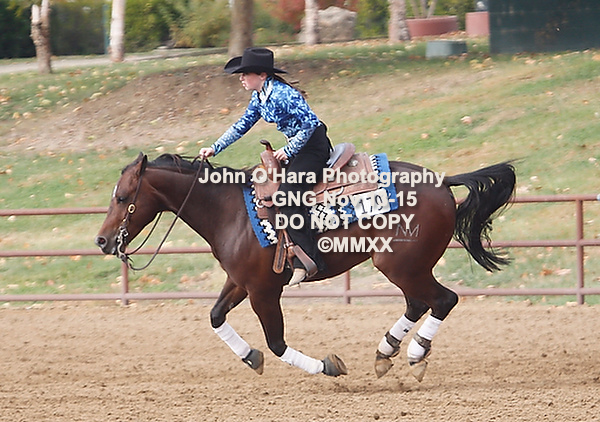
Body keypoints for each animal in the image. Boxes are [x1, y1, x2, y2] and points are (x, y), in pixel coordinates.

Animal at [95, 151, 516, 380]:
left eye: (122, 196)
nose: (101, 241)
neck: (232, 211)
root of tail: (443, 182)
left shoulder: (264, 291)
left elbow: (277, 343)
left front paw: (328, 366)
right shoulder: (240, 282)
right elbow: (215, 317)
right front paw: (250, 357)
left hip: (402, 265)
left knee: (443, 301)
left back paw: (414, 355)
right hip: (406, 269)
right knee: (418, 303)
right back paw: (385, 353)